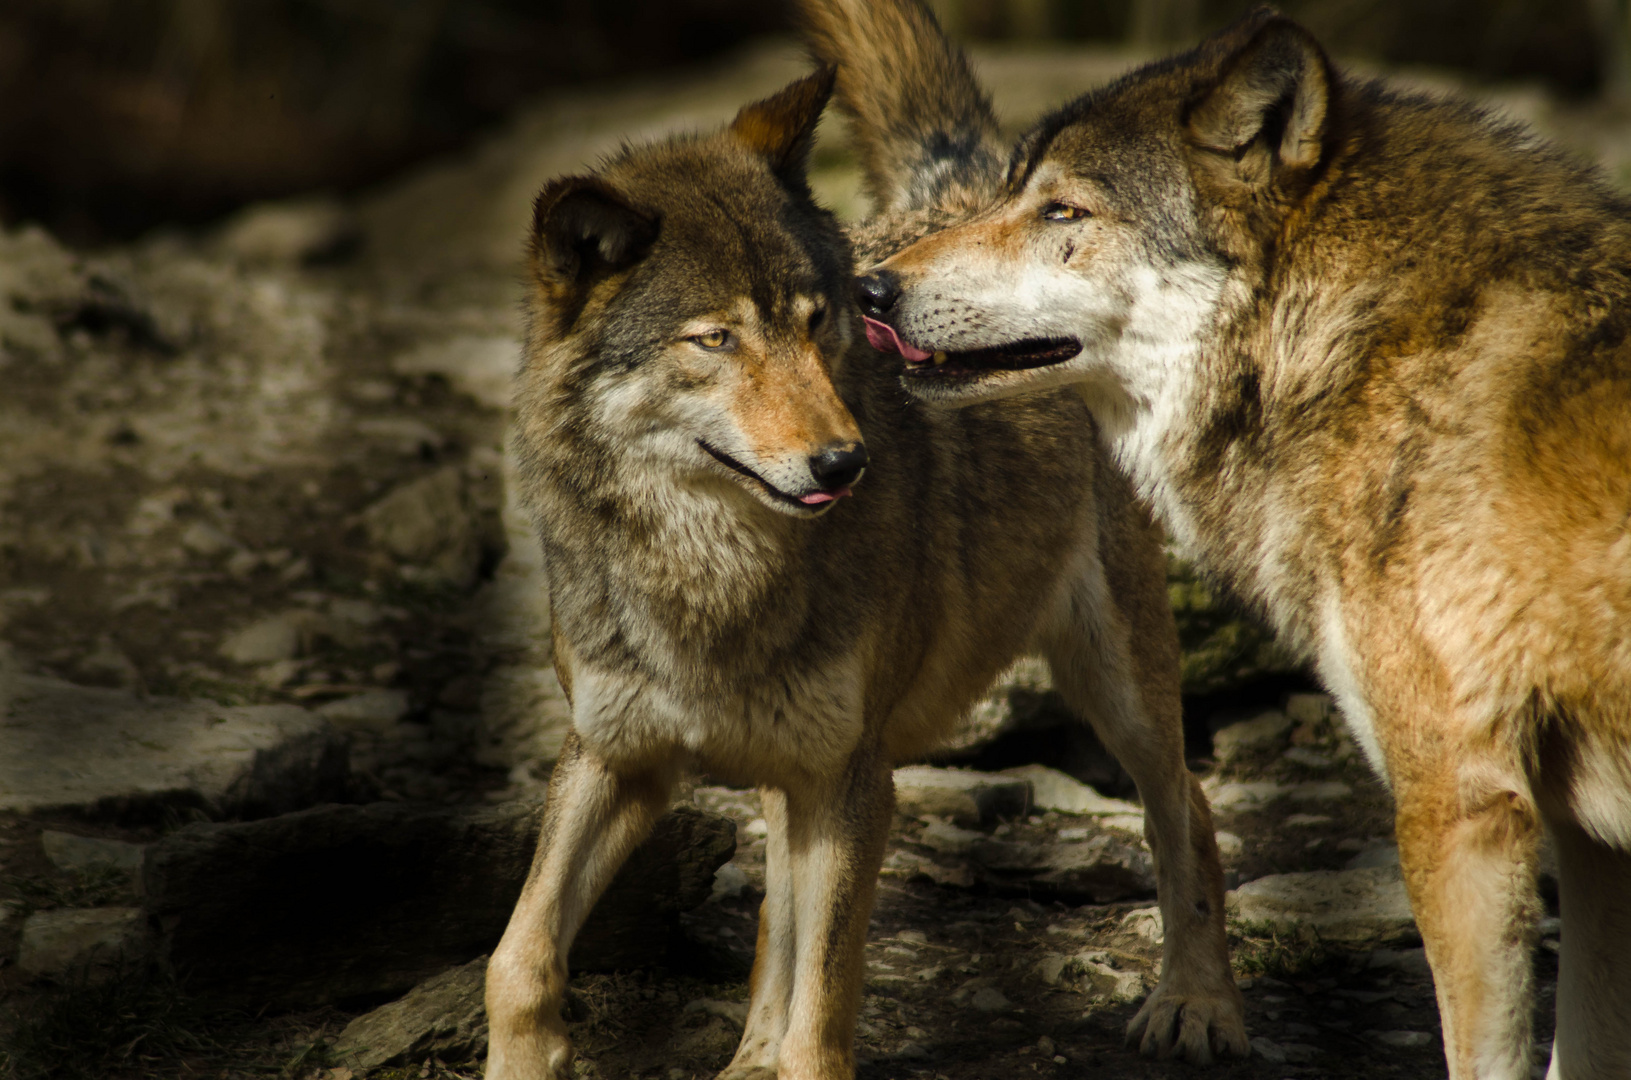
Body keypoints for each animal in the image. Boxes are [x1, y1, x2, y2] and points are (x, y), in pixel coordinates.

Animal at [482, 69, 1246, 1080]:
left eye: (815, 323)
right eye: (714, 340)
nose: (844, 463)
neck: (709, 574)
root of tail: (963, 196)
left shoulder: (854, 778)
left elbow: (824, 1011)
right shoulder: (615, 756)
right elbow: (518, 955)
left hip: (1114, 685)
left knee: (1185, 811)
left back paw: (1196, 1004)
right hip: (797, 768)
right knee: (775, 911)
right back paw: (748, 1052)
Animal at [808, 2, 1631, 1080]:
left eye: (1062, 212)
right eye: (1017, 194)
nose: (868, 290)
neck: (1364, 338)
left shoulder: (1460, 802)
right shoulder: (1585, 837)